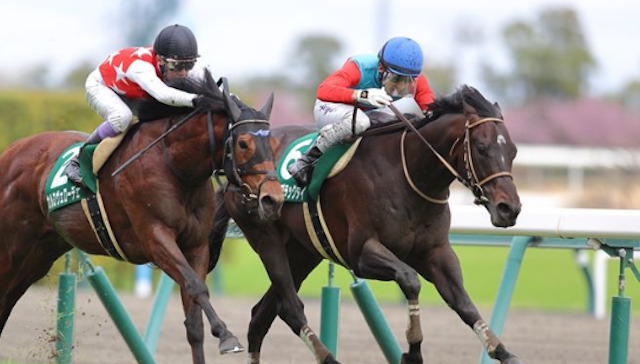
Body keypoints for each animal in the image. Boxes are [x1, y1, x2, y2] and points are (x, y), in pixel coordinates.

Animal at [0, 71, 282, 364]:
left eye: (273, 143)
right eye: (243, 143)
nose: (272, 198)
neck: (175, 166)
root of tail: (11, 151)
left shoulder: (196, 246)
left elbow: (194, 320)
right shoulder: (155, 238)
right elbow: (196, 287)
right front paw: (227, 336)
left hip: (38, 255)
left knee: (8, 297)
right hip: (11, 247)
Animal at [211, 86, 524, 364]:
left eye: (513, 150)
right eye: (482, 148)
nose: (509, 209)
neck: (407, 173)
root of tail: (231, 169)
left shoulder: (436, 252)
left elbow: (463, 303)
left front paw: (503, 351)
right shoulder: (362, 253)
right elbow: (410, 280)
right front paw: (412, 352)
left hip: (302, 252)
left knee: (260, 317)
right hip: (266, 237)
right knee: (289, 308)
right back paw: (328, 357)